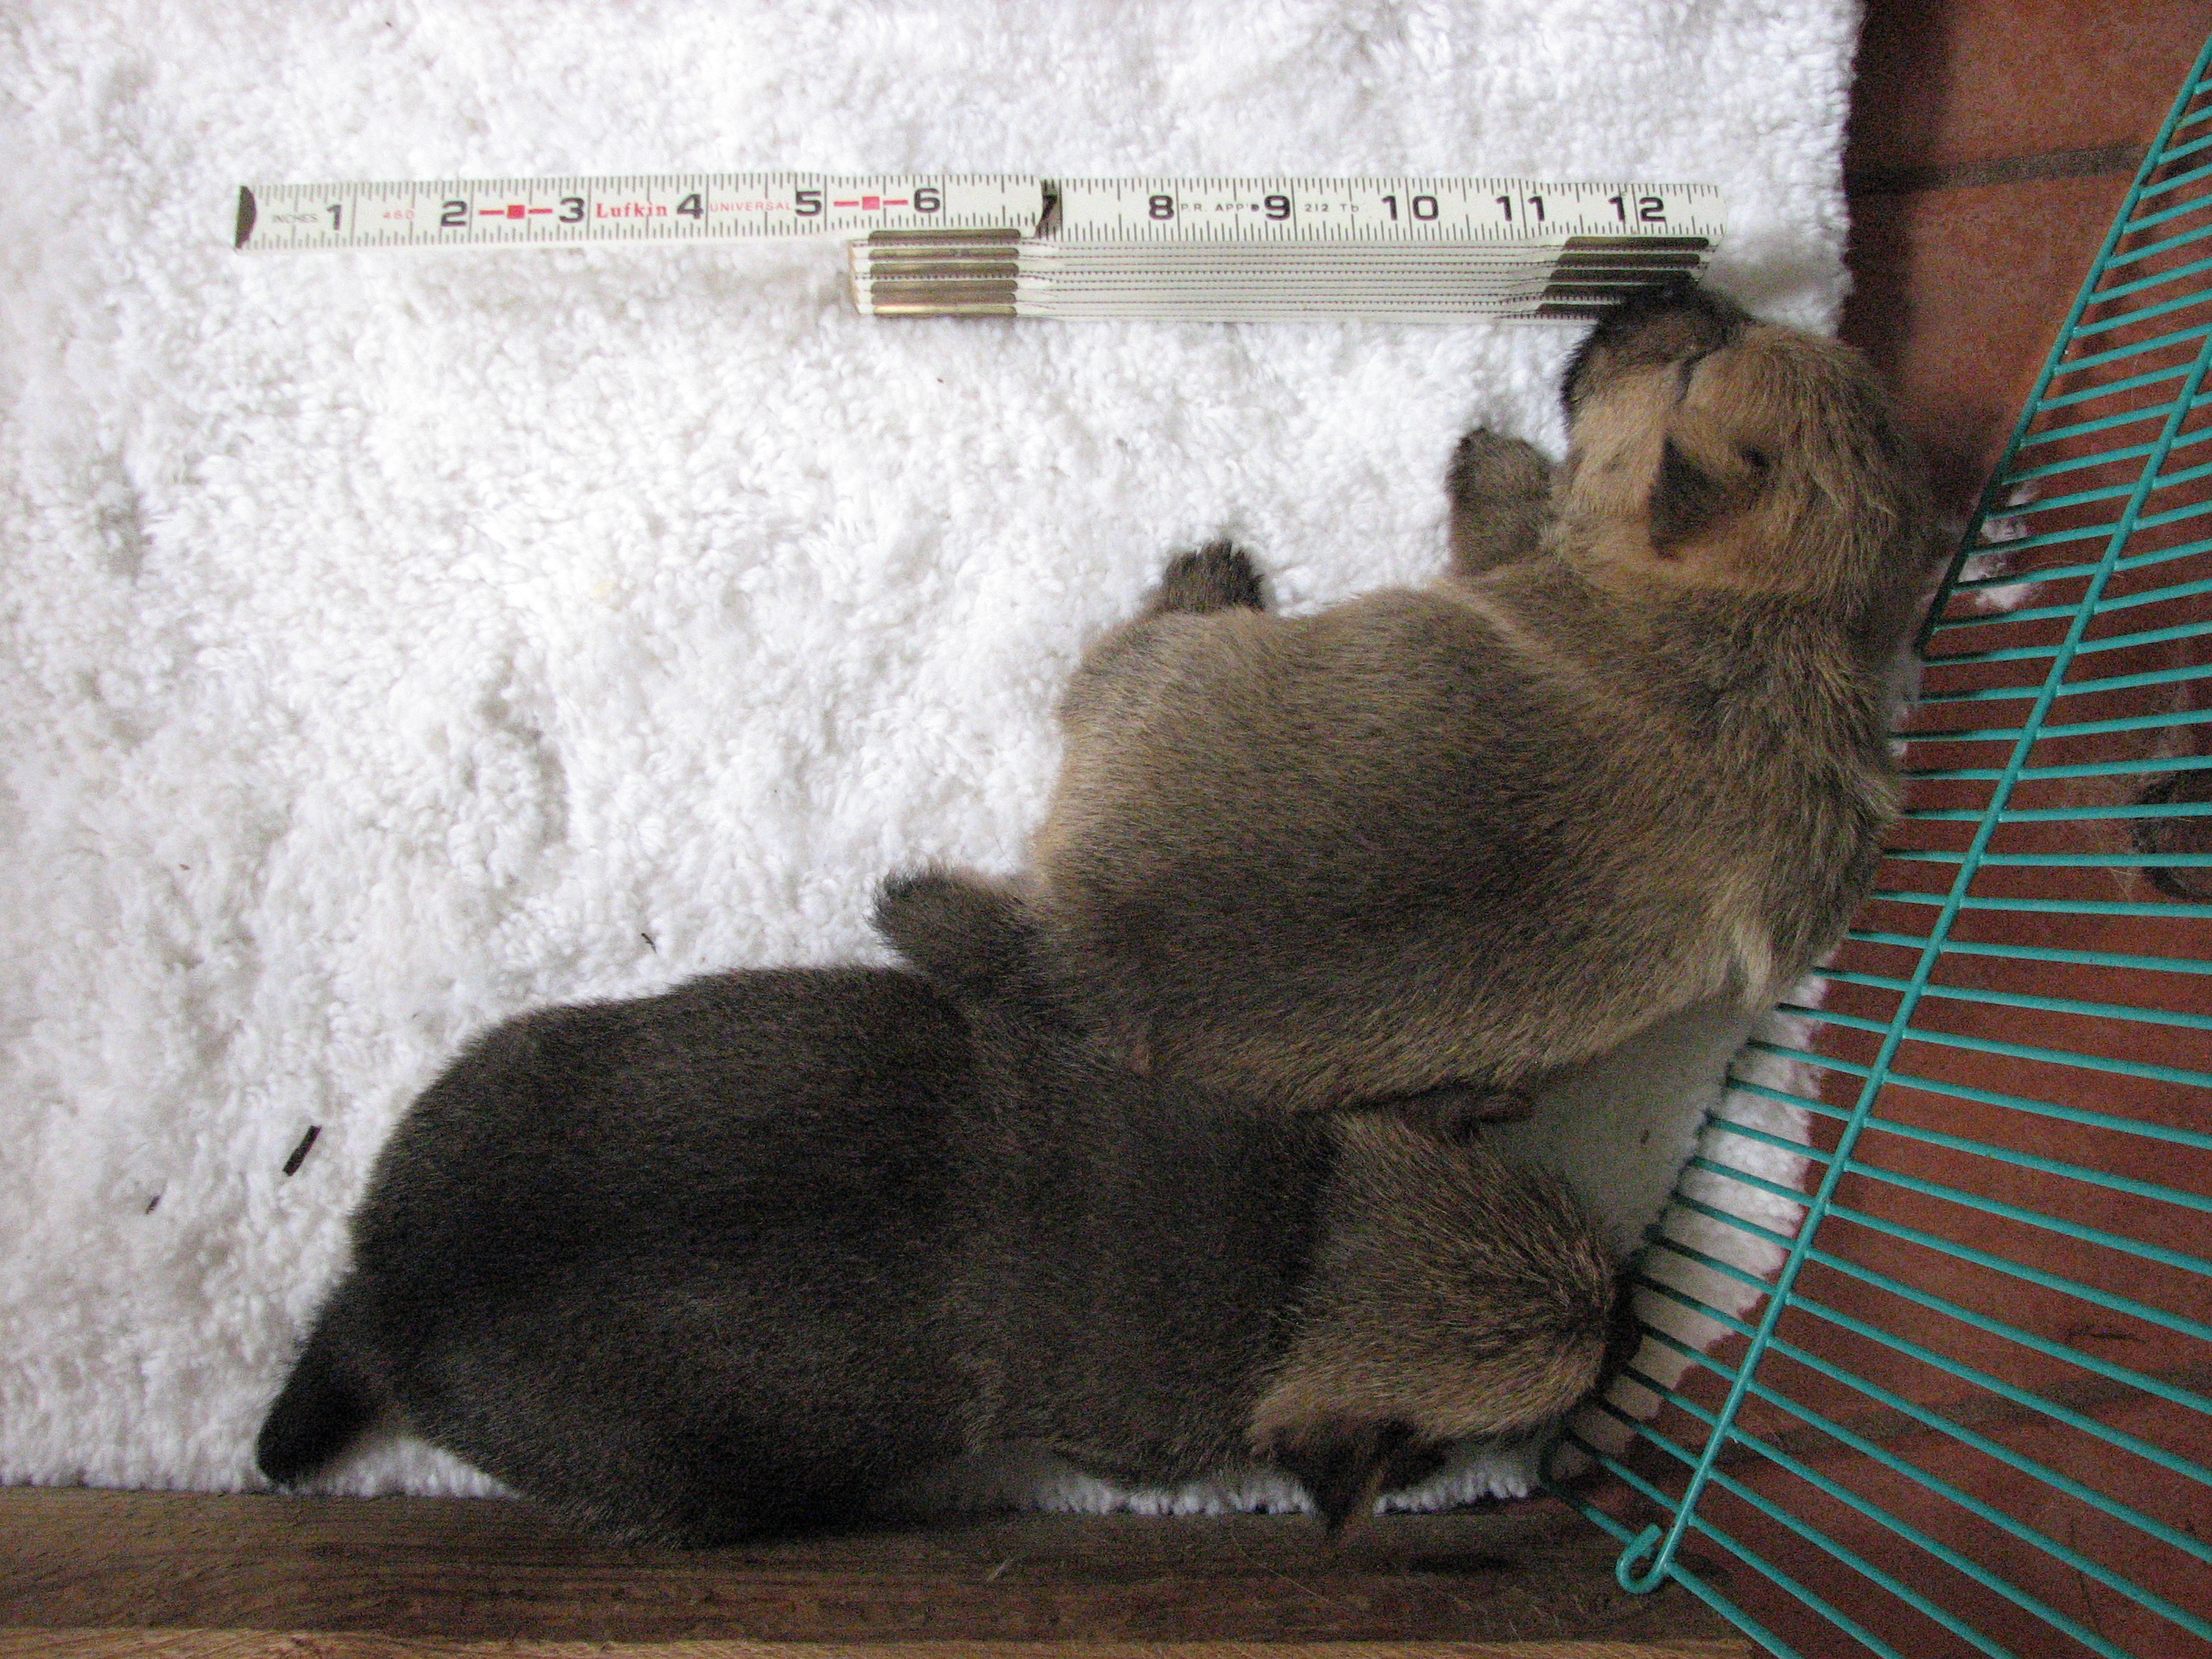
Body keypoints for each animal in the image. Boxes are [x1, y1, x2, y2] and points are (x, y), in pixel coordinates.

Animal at [255, 872, 1624, 1547]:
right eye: (1519, 1417)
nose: (1625, 1319)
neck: (1302, 1256)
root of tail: (390, 1297)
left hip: (502, 1064)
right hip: (679, 1499)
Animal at [979, 278, 1939, 1113]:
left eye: (1699, 353)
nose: (1662, 286)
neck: (1778, 611)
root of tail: (1079, 949)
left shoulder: (1520, 554)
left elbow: (1511, 506)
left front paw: (1491, 452)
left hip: (1151, 664)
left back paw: (1208, 573)